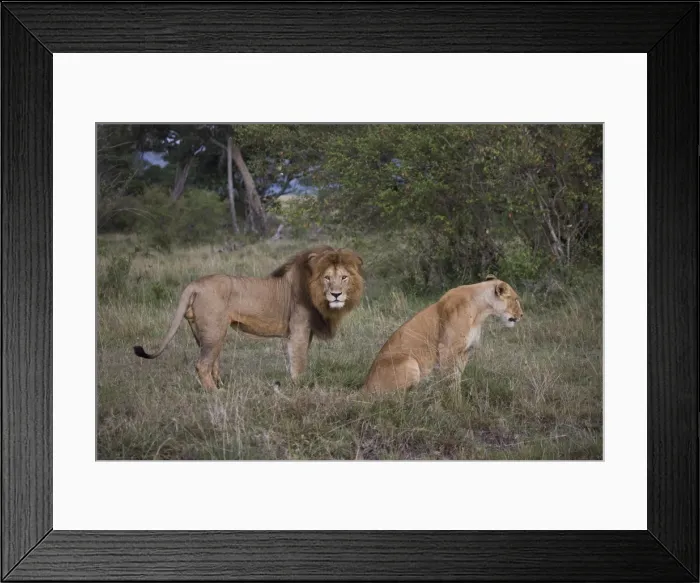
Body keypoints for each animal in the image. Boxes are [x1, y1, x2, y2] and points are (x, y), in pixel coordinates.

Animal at [133, 245, 364, 391]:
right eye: (327, 278)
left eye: (344, 277)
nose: (336, 294)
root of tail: (194, 284)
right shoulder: (299, 330)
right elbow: (299, 361)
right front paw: (301, 387)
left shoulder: (302, 334)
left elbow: (294, 359)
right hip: (214, 331)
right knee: (202, 365)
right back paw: (215, 394)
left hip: (204, 333)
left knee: (212, 363)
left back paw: (222, 387)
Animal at [362, 275, 523, 393]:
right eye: (515, 299)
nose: (522, 315)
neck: (480, 312)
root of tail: (363, 386)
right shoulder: (447, 349)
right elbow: (450, 379)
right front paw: (453, 401)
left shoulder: (465, 351)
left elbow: (458, 376)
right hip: (410, 362)